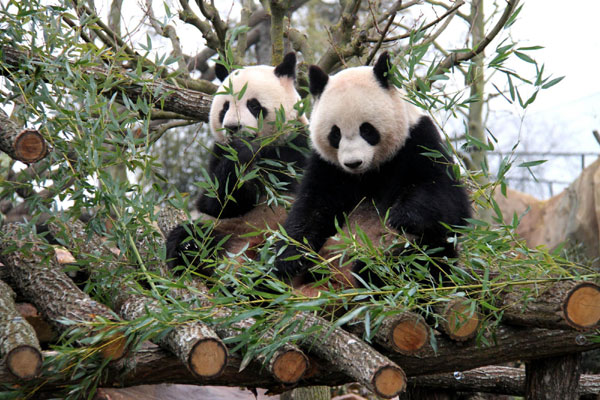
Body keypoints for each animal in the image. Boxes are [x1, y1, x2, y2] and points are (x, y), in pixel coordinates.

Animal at [168, 53, 310, 276]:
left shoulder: (297, 146)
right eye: (225, 107)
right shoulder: (218, 154)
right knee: (191, 234)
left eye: (253, 105)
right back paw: (189, 249)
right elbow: (215, 202)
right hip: (222, 230)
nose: (232, 127)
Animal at [274, 52, 472, 288]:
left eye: (367, 130)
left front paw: (402, 216)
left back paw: (372, 271)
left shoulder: (419, 142)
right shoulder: (328, 166)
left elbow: (446, 199)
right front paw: (290, 258)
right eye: (335, 133)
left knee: (422, 258)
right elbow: (311, 208)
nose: (353, 163)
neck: (368, 174)